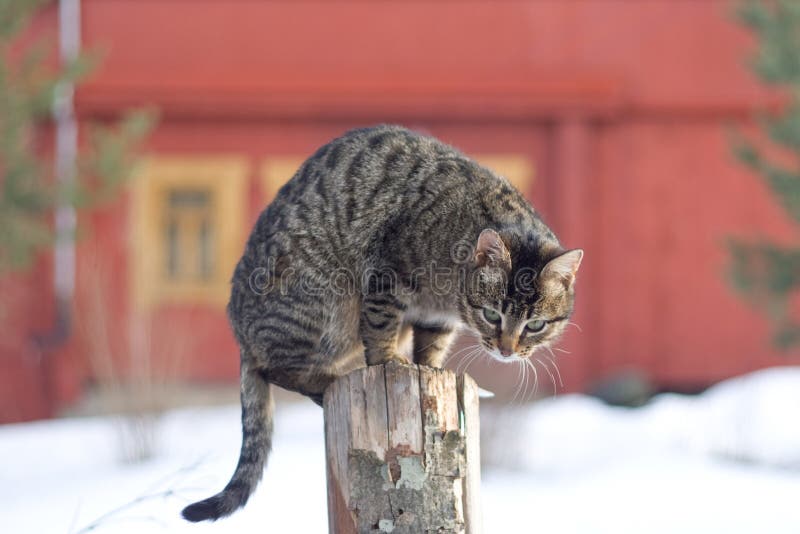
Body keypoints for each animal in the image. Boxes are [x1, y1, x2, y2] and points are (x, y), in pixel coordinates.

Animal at [181, 125, 580, 524]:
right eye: (492, 315)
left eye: (536, 325)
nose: (507, 350)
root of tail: (238, 330)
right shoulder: (388, 273)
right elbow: (380, 327)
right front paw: (389, 360)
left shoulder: (435, 318)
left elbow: (431, 348)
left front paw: (430, 367)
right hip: (324, 302)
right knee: (277, 368)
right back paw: (327, 380)